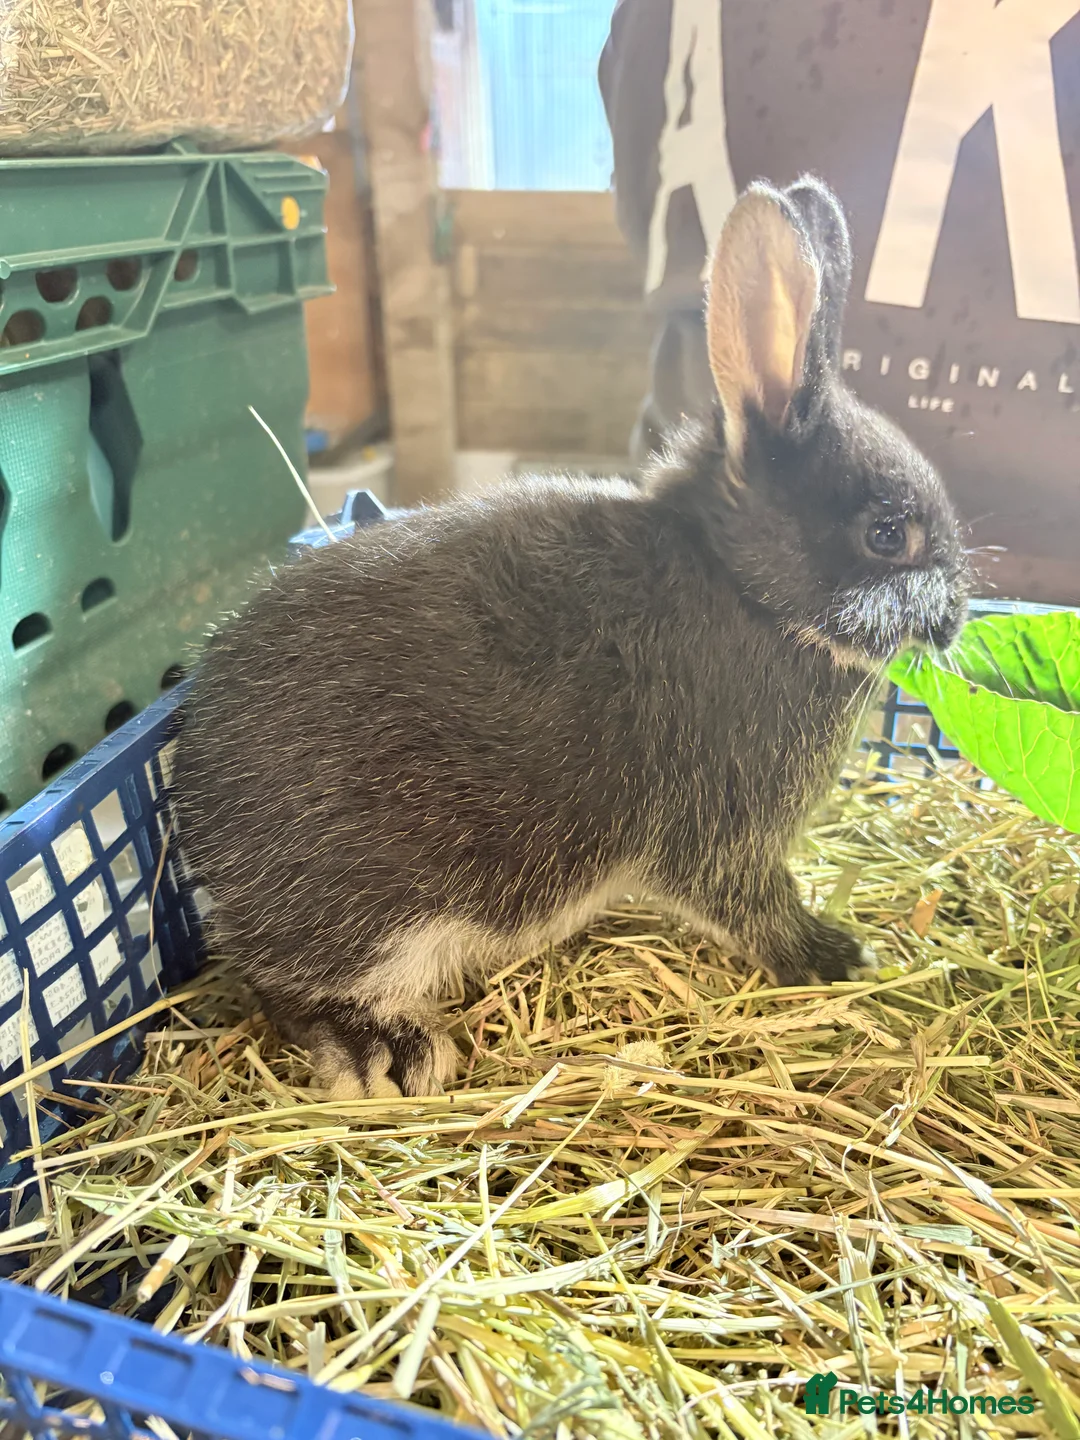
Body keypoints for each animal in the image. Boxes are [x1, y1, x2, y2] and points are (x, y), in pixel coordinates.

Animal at [174, 175, 970, 1101]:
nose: (956, 616)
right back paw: (390, 1051)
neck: (748, 593)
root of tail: (194, 807)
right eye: (887, 534)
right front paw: (834, 955)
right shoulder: (721, 830)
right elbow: (754, 904)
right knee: (293, 984)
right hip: (377, 912)